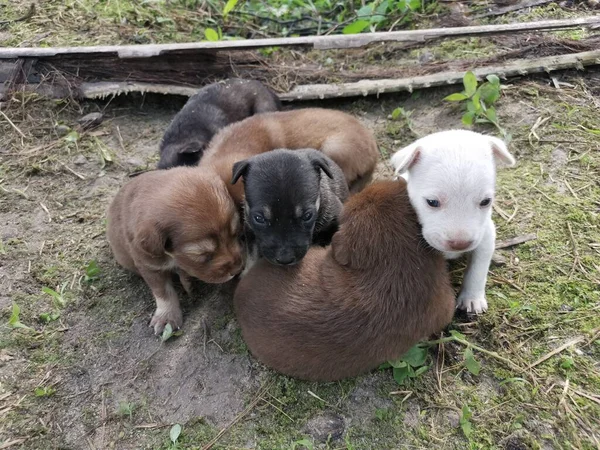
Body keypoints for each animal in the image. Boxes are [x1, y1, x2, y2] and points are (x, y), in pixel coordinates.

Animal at [106, 167, 243, 332]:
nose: (238, 270)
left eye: (235, 233)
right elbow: (163, 292)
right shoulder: (148, 265)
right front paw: (166, 317)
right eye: (203, 254)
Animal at [390, 128, 516, 314]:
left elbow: (477, 270)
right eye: (432, 202)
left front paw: (472, 298)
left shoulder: (486, 236)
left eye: (486, 201)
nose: (460, 244)